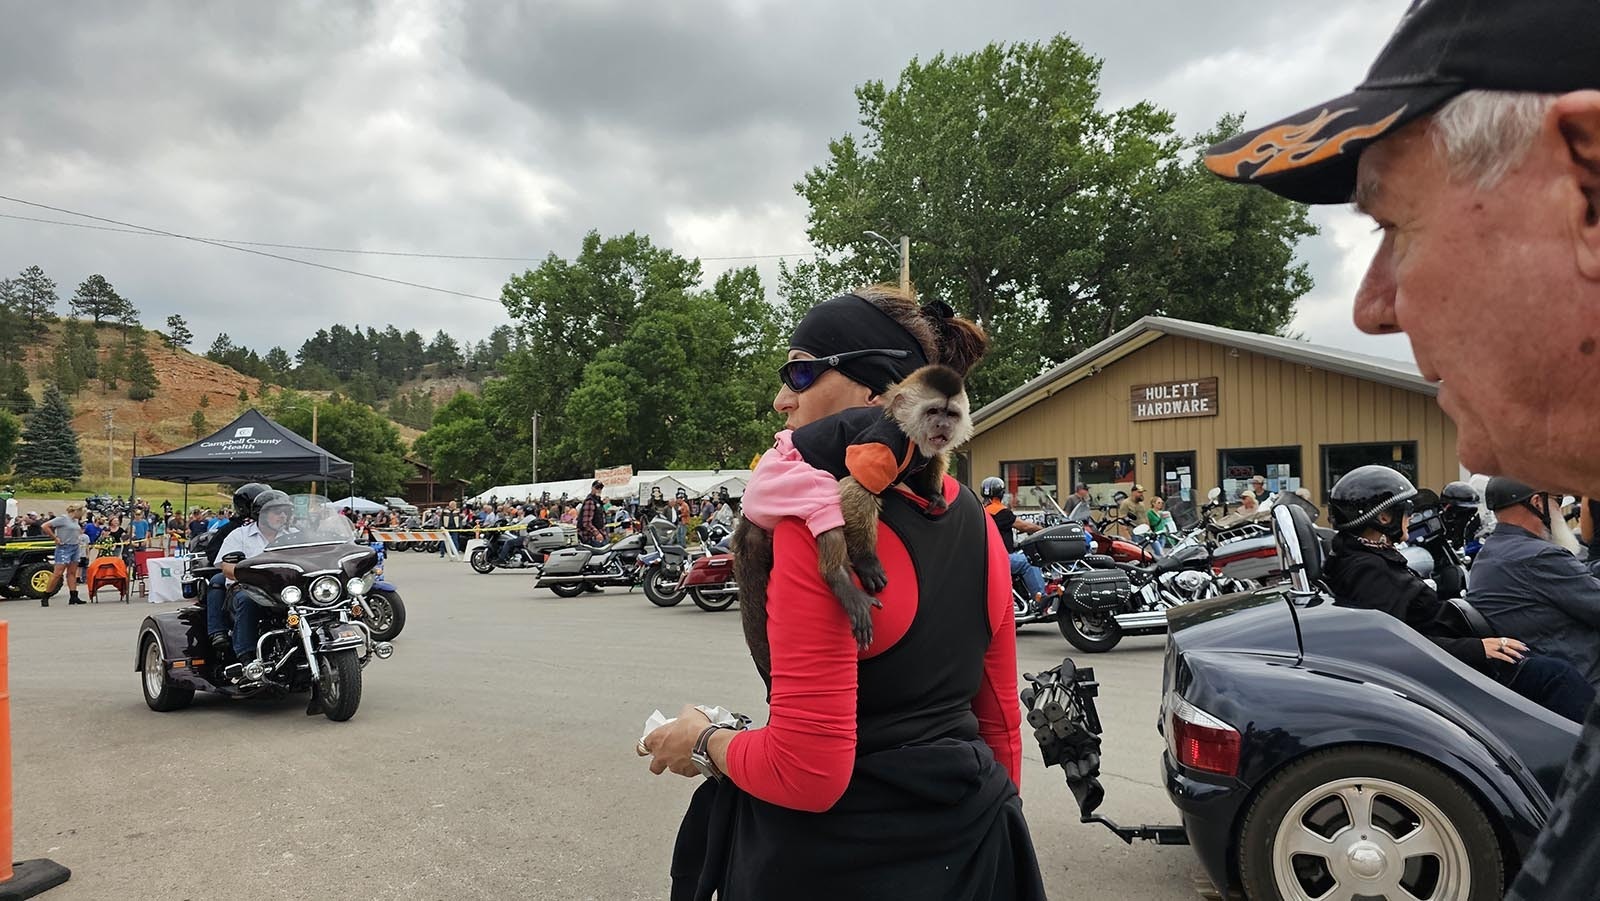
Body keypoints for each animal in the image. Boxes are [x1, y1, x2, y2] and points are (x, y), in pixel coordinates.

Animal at [736, 366, 972, 678]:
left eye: (951, 414)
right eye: (933, 411)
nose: (942, 425)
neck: (908, 435)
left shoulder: (923, 449)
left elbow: (934, 457)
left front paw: (933, 494)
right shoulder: (883, 442)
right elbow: (857, 486)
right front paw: (866, 560)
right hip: (774, 475)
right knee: (821, 493)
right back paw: (837, 575)